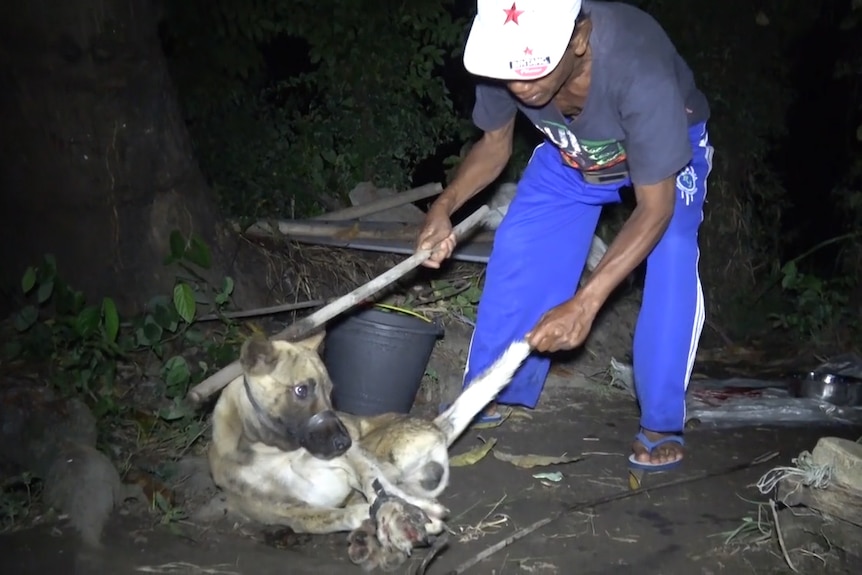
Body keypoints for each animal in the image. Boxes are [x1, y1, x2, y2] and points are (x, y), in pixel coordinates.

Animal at [209, 328, 532, 572]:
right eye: (301, 390)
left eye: (331, 391)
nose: (343, 442)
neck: (274, 450)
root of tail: (435, 426)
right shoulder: (296, 514)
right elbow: (347, 511)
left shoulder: (354, 461)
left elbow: (375, 487)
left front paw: (400, 515)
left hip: (380, 447)